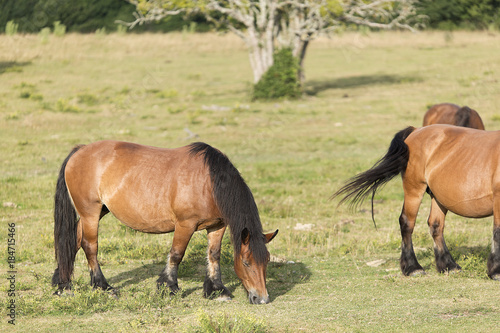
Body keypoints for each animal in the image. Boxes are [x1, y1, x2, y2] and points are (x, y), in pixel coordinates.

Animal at [52, 140, 280, 304]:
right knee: (90, 246)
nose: (262, 299)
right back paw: (103, 286)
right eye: (246, 262)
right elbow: (177, 254)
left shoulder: (217, 225)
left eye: (267, 261)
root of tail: (80, 150)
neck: (209, 182)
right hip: (90, 212)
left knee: (74, 240)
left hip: (98, 211)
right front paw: (169, 287)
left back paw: (63, 283)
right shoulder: (185, 225)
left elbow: (213, 255)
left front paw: (217, 290)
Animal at [332, 124, 500, 280]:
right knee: (407, 223)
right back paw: (413, 267)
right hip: (414, 190)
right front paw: (496, 271)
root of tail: (416, 130)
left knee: (436, 226)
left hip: (437, 197)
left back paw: (448, 266)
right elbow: (497, 232)